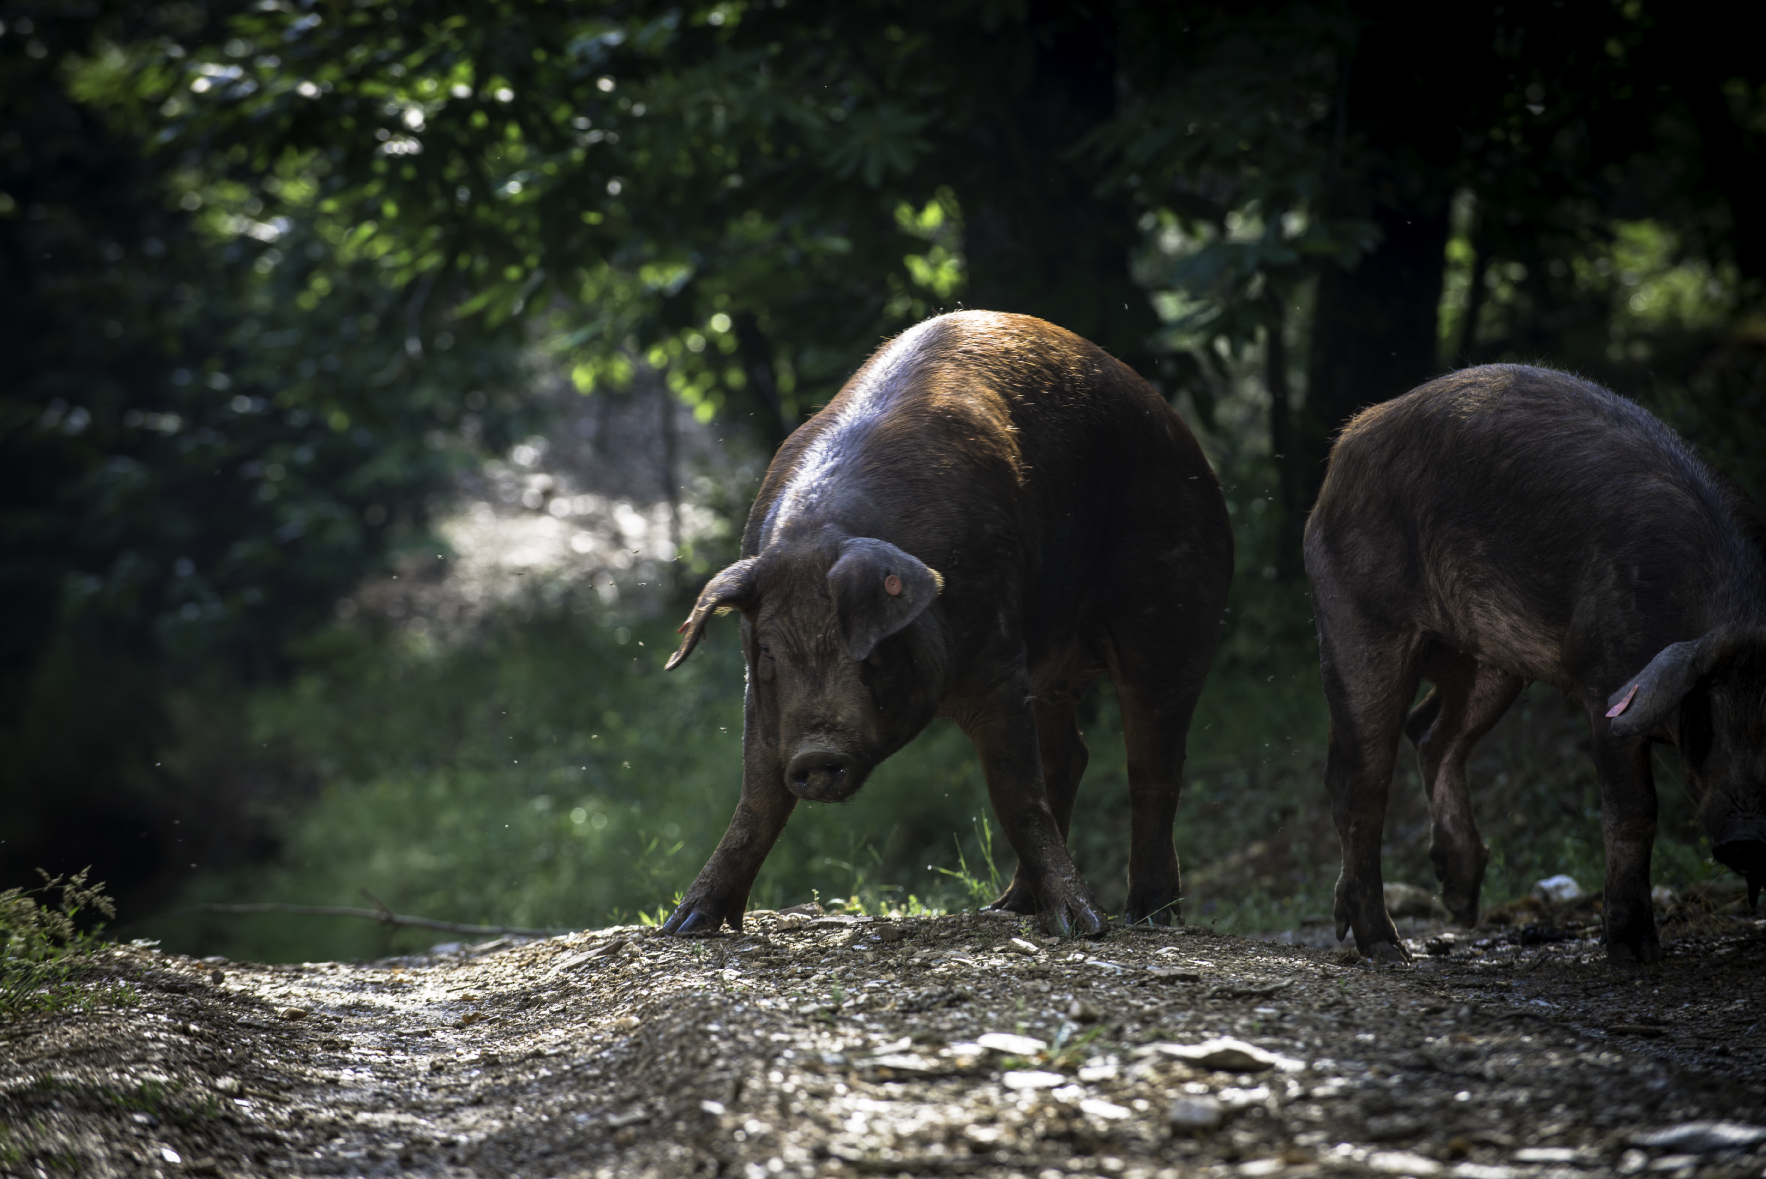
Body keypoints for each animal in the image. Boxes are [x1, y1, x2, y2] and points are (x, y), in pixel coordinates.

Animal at [660, 312, 1229, 938]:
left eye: (869, 653)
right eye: (766, 653)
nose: (813, 755)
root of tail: (1185, 436)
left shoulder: (1000, 654)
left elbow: (1014, 792)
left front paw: (1080, 926)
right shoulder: (759, 701)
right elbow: (757, 800)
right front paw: (684, 926)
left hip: (1173, 609)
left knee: (1152, 762)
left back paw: (1145, 917)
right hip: (1053, 663)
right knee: (1073, 756)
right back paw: (1007, 907)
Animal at [1313, 363, 1766, 960]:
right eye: (1708, 721)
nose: (1747, 838)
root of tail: (1348, 440)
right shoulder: (1605, 680)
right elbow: (1635, 811)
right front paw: (1635, 952)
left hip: (1489, 663)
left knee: (1432, 733)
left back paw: (1462, 902)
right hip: (1356, 619)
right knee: (1358, 779)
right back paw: (1388, 948)